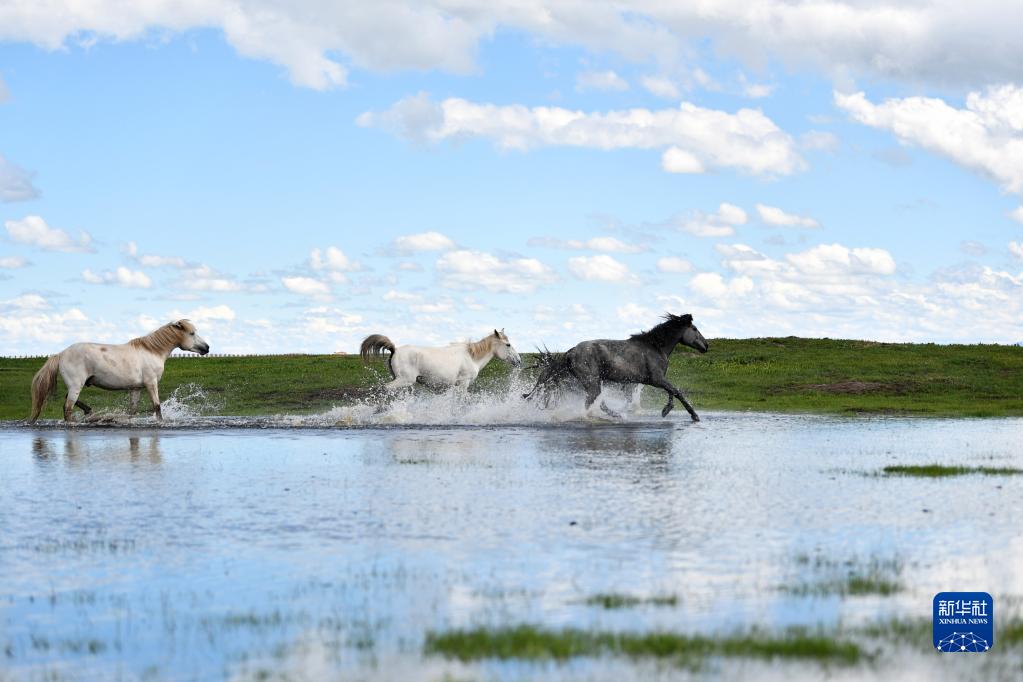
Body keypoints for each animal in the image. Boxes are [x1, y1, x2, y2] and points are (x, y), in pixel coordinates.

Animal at [29, 320, 210, 423]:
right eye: (192, 333)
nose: (207, 348)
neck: (152, 351)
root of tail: (61, 354)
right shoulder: (151, 383)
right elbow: (157, 407)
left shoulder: (136, 388)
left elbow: (132, 412)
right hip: (76, 385)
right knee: (67, 407)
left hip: (78, 385)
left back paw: (89, 412)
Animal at [360, 328, 522, 391]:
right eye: (508, 344)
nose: (519, 361)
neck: (471, 357)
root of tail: (395, 349)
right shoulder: (463, 384)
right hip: (403, 380)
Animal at [523, 313, 709, 420]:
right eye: (695, 328)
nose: (706, 346)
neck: (656, 347)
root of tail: (571, 352)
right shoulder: (657, 379)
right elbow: (677, 392)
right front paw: (693, 415)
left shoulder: (656, 380)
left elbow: (672, 392)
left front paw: (666, 410)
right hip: (592, 382)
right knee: (591, 404)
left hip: (589, 383)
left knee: (600, 403)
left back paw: (617, 415)